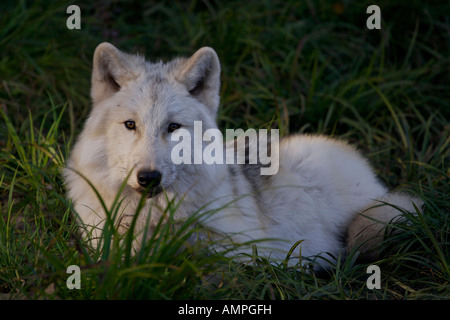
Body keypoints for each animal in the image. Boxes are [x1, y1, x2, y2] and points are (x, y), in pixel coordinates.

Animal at [63, 43, 422, 266]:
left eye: (173, 127)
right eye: (130, 125)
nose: (148, 177)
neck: (147, 215)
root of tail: (376, 182)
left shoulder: (242, 242)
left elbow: (191, 243)